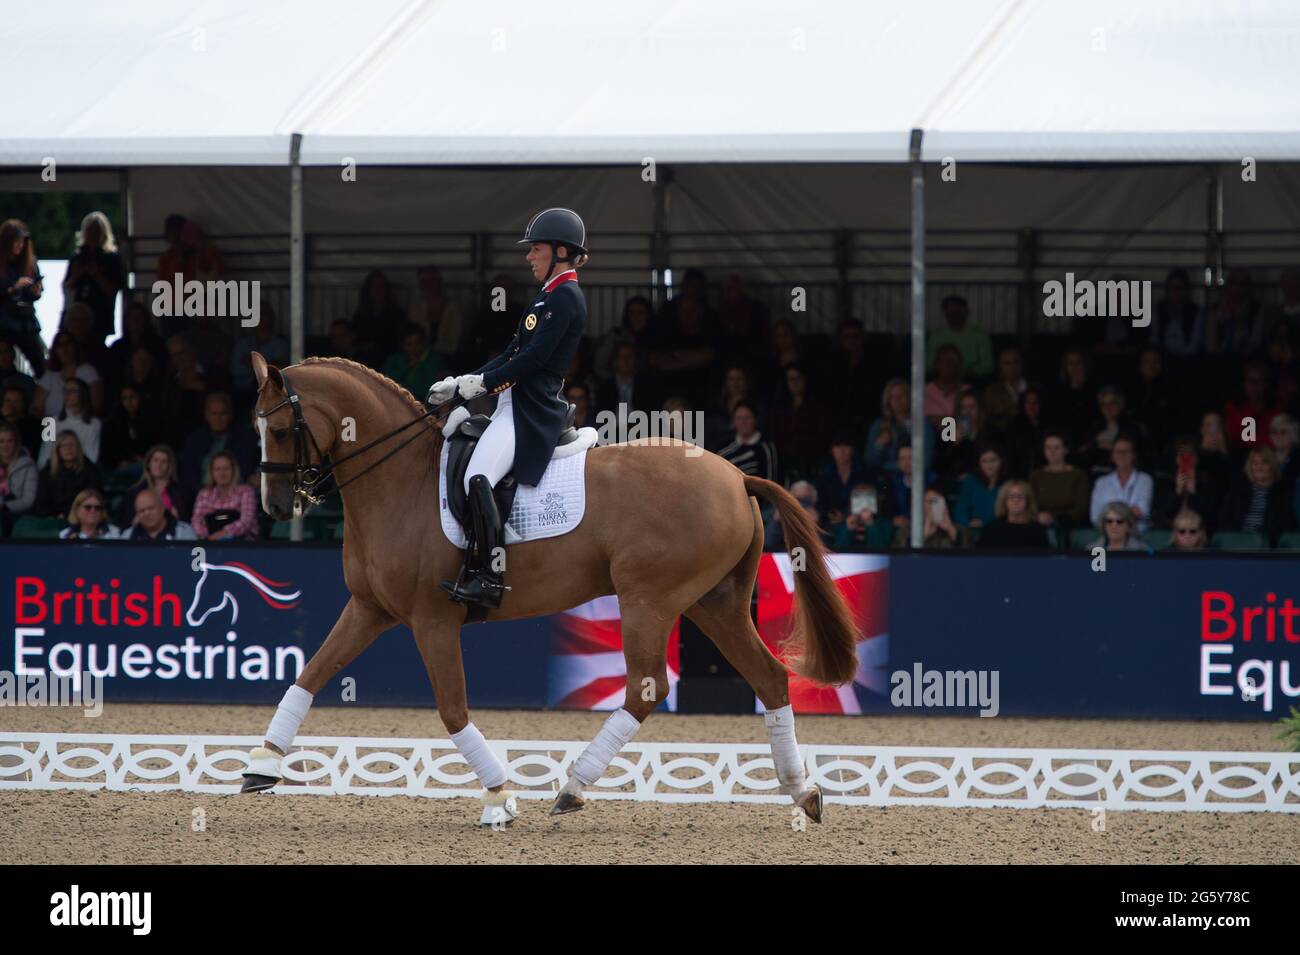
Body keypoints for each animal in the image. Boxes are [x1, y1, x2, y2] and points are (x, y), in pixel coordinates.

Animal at [243, 356, 857, 826]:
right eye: (258, 429)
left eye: (281, 430)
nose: (276, 506)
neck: (401, 481)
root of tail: (735, 476)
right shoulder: (370, 608)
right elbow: (311, 674)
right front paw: (260, 765)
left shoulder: (432, 620)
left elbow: (452, 709)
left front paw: (499, 798)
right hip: (717, 604)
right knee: (769, 678)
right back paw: (802, 791)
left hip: (647, 601)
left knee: (647, 690)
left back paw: (573, 787)